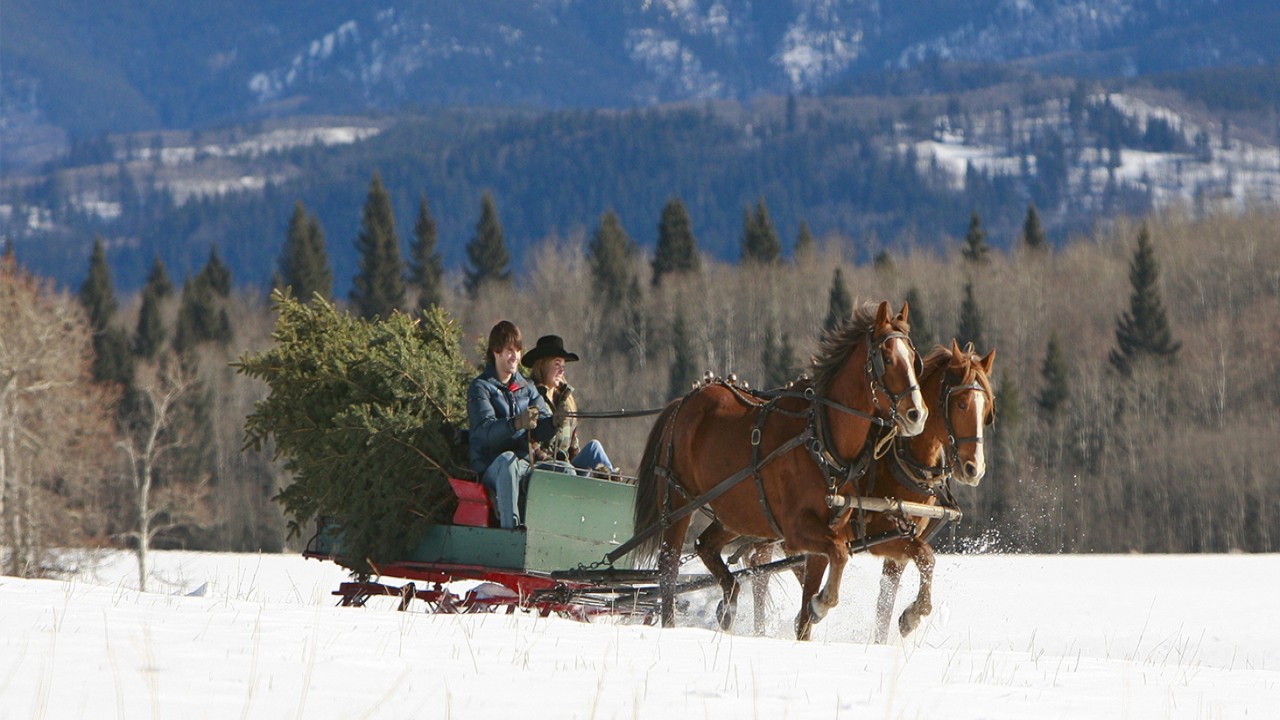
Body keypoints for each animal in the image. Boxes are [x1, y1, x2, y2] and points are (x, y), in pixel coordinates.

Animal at [632, 299, 926, 635]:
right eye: (887, 359)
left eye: (914, 359)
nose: (917, 414)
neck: (821, 438)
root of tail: (682, 402)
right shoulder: (797, 530)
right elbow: (839, 553)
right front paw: (822, 604)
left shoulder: (827, 533)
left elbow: (821, 581)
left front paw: (812, 611)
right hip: (679, 502)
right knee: (668, 567)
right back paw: (670, 624)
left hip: (736, 511)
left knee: (705, 545)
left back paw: (729, 602)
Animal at [742, 338, 988, 640]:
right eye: (962, 404)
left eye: (986, 409)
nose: (974, 468)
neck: (899, 459)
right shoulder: (883, 537)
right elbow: (926, 557)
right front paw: (912, 616)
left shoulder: (900, 547)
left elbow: (887, 604)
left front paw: (902, 623)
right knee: (759, 573)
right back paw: (761, 629)